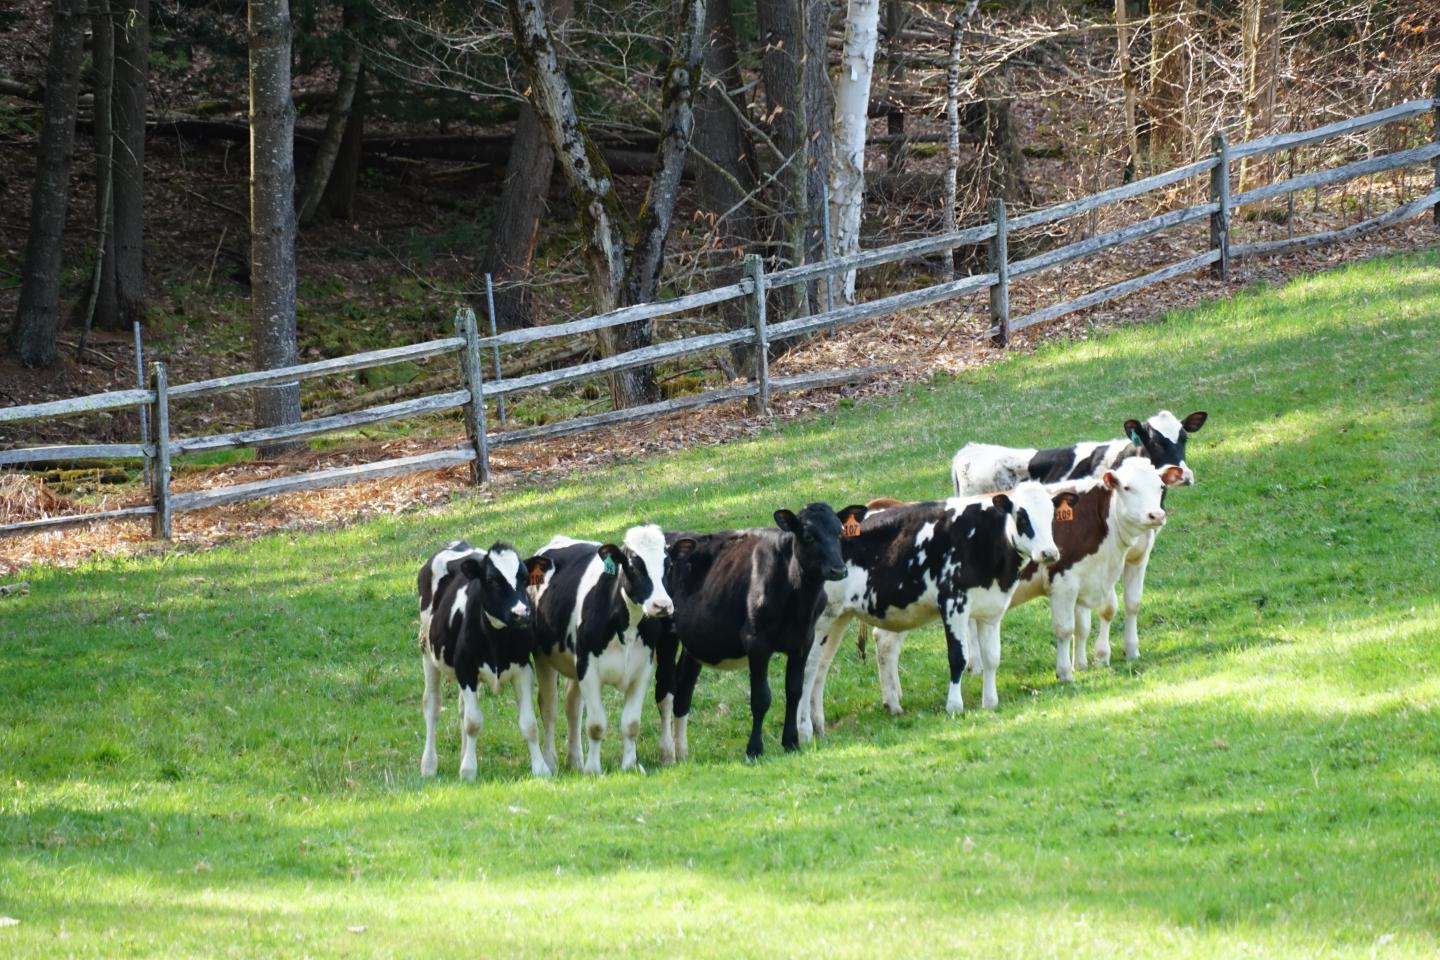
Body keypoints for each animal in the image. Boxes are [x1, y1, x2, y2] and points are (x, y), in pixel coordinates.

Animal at [417, 540, 553, 780]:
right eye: (491, 580)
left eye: (524, 578)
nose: (522, 613)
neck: (497, 641)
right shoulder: (466, 670)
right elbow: (473, 723)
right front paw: (468, 771)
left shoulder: (523, 669)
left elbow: (529, 724)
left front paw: (540, 768)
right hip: (427, 651)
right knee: (432, 706)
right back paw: (429, 765)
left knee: (462, 709)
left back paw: (462, 754)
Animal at [529, 525, 692, 774]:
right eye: (633, 566)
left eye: (669, 565)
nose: (662, 605)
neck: (626, 626)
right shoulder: (588, 668)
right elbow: (596, 725)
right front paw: (593, 770)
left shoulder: (642, 669)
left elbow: (631, 724)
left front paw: (629, 766)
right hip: (543, 657)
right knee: (549, 707)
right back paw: (550, 761)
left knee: (573, 705)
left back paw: (575, 760)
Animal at [644, 503, 868, 762]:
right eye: (809, 535)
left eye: (839, 532)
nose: (838, 570)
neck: (798, 600)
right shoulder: (757, 642)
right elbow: (761, 698)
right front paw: (754, 749)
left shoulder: (803, 641)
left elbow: (794, 691)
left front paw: (791, 742)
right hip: (665, 635)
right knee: (665, 691)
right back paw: (668, 754)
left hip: (694, 644)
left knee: (683, 693)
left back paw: (682, 753)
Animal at [797, 482, 1067, 742]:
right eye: (1022, 517)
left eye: (1051, 516)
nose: (1050, 553)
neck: (983, 539)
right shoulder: (953, 603)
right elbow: (958, 657)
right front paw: (954, 706)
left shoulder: (992, 610)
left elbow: (992, 658)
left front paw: (990, 702)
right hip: (821, 619)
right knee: (808, 667)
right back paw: (804, 730)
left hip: (838, 617)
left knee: (821, 667)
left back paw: (819, 724)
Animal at [951, 409, 1206, 662]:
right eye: (1154, 441)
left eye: (1184, 438)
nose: (1184, 475)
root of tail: (969, 450)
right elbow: (1105, 607)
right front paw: (1101, 656)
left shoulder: (1138, 554)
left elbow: (1131, 603)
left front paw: (1129, 651)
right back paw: (975, 663)